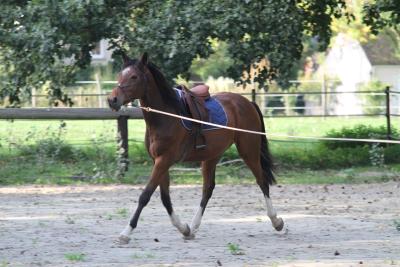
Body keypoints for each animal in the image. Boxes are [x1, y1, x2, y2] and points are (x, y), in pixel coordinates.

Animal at [108, 52, 282, 245]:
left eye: (134, 77)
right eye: (120, 75)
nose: (112, 99)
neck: (166, 116)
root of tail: (248, 103)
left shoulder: (164, 161)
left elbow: (145, 195)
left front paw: (126, 232)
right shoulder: (159, 161)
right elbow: (165, 198)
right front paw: (183, 228)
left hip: (248, 151)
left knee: (262, 181)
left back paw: (276, 221)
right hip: (211, 156)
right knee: (208, 189)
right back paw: (193, 227)